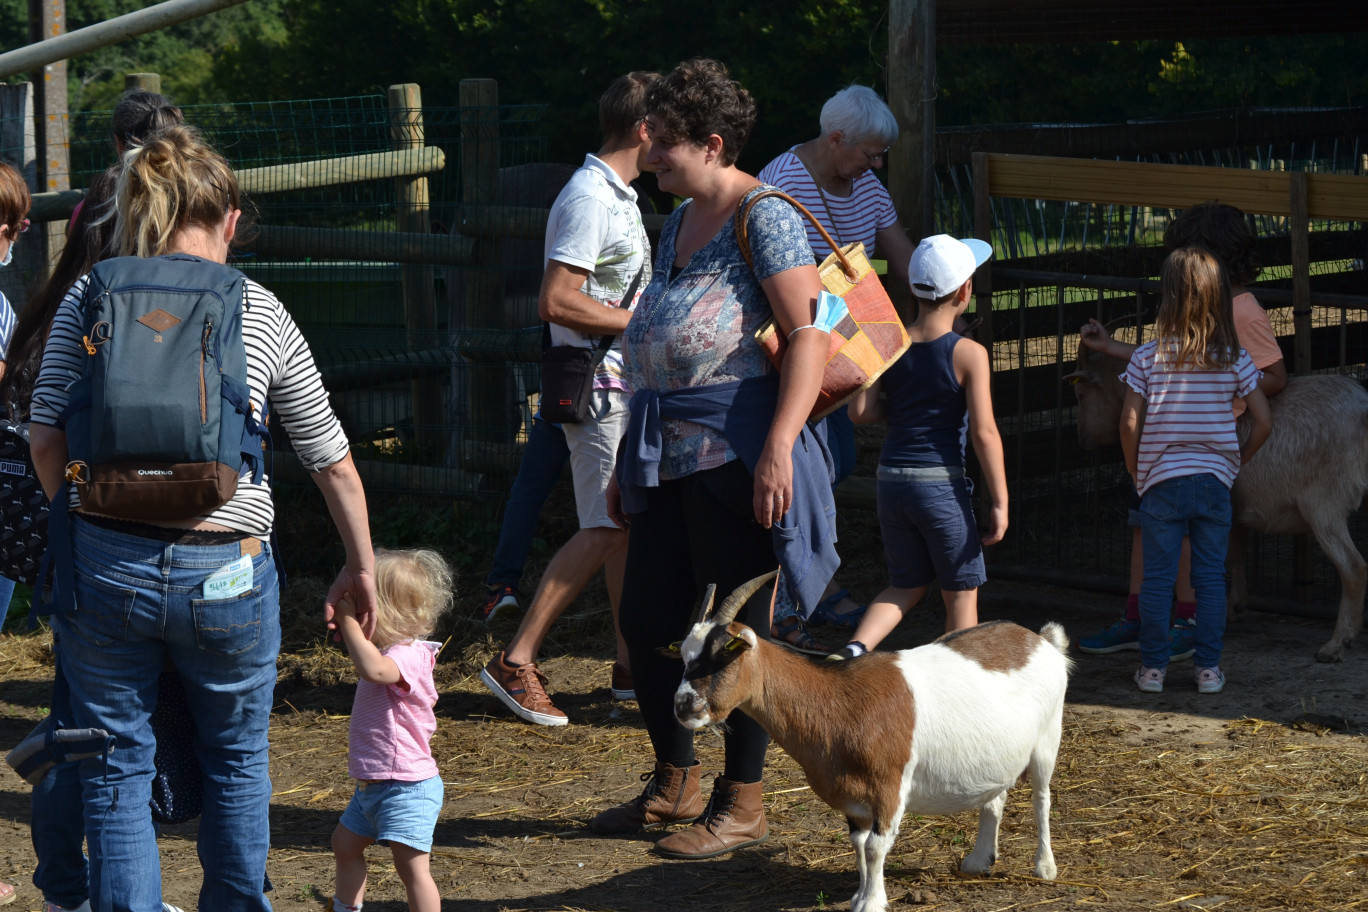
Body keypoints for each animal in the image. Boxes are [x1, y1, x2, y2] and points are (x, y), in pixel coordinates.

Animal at [673, 574, 1067, 907]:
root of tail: (1041, 640)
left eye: (725, 654)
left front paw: (872, 902)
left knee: (1042, 799)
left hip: (1048, 737)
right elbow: (860, 845)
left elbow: (877, 847)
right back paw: (978, 859)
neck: (839, 703)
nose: (682, 705)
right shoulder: (854, 798)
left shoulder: (890, 785)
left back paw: (1045, 867)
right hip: (997, 753)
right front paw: (860, 894)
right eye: (684, 657)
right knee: (995, 798)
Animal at [1067, 341, 1368, 664]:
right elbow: (1235, 554)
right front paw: (1234, 606)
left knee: (1354, 567)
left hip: (1323, 501)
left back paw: (1336, 644)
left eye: (1081, 394)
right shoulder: (1233, 508)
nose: (1082, 439)